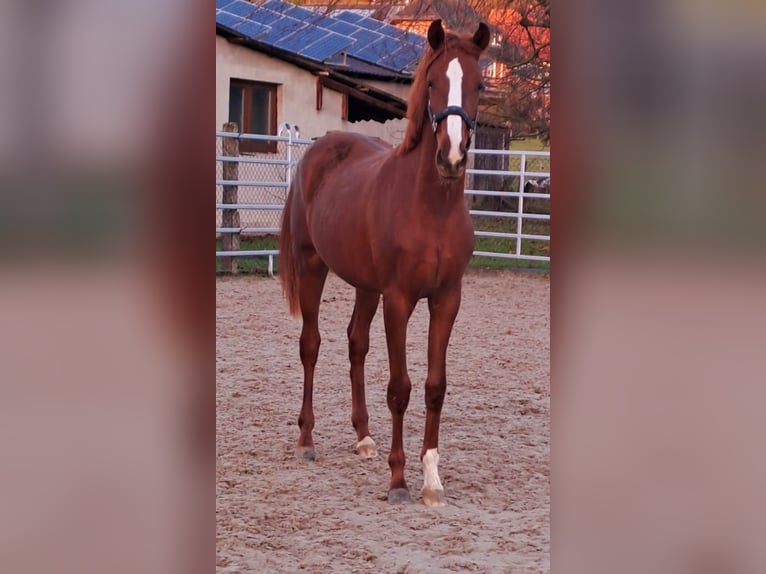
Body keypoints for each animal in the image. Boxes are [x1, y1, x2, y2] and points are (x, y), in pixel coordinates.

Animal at [282, 20, 492, 506]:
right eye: (432, 83)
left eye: (479, 84)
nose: (451, 157)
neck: (431, 208)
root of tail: (317, 150)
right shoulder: (399, 300)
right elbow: (401, 388)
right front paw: (398, 481)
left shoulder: (446, 300)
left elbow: (434, 387)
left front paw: (431, 480)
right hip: (312, 267)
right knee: (311, 345)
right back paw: (306, 440)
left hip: (365, 286)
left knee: (355, 344)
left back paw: (363, 438)